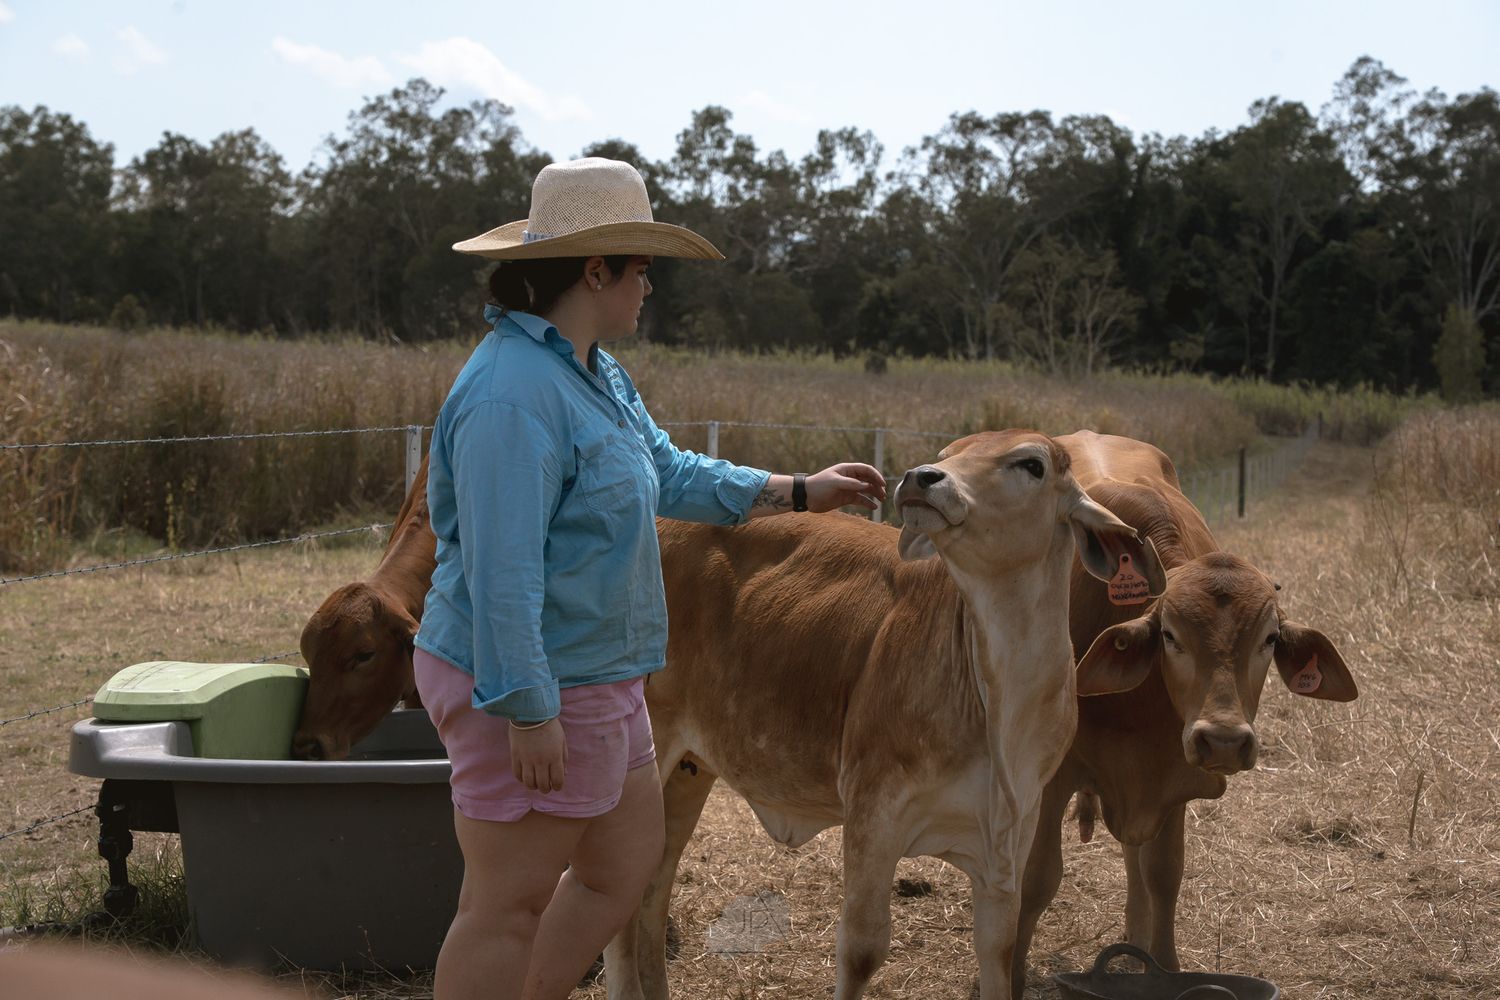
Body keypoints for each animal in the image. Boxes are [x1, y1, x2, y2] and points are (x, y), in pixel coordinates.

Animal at [602, 429, 1166, 1000]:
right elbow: (862, 950)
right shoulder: (874, 811)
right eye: (947, 456)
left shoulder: (1012, 836)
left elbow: (999, 949)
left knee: (654, 885)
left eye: (1032, 464)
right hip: (648, 751)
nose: (921, 478)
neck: (998, 700)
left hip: (690, 769)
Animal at [1006, 430, 1358, 996]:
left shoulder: (1171, 778)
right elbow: (1038, 879)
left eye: (1270, 639)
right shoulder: (1055, 775)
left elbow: (1163, 874)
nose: (1224, 740)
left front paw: (1166, 968)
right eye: (1170, 635)